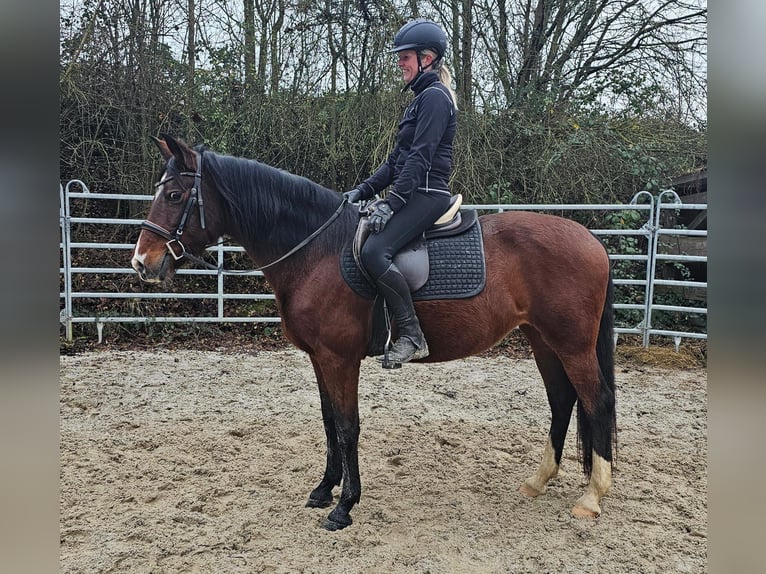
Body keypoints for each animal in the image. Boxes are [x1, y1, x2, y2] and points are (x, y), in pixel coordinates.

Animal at [129, 137, 616, 532]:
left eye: (174, 194)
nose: (142, 263)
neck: (317, 250)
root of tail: (591, 239)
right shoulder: (318, 357)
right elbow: (328, 422)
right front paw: (323, 489)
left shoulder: (339, 358)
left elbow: (348, 427)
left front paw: (344, 506)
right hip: (542, 339)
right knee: (562, 399)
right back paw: (538, 480)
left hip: (571, 344)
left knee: (596, 401)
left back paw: (592, 497)